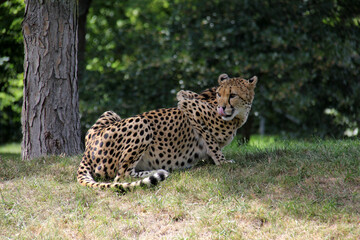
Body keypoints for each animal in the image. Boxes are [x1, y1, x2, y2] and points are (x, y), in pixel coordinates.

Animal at [76, 73, 256, 191]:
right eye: (220, 94)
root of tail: (87, 150)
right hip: (142, 122)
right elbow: (211, 141)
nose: (222, 108)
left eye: (232, 95)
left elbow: (185, 93)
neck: (238, 116)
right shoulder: (190, 107)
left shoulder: (185, 96)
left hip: (110, 113)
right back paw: (158, 172)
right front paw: (221, 161)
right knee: (121, 175)